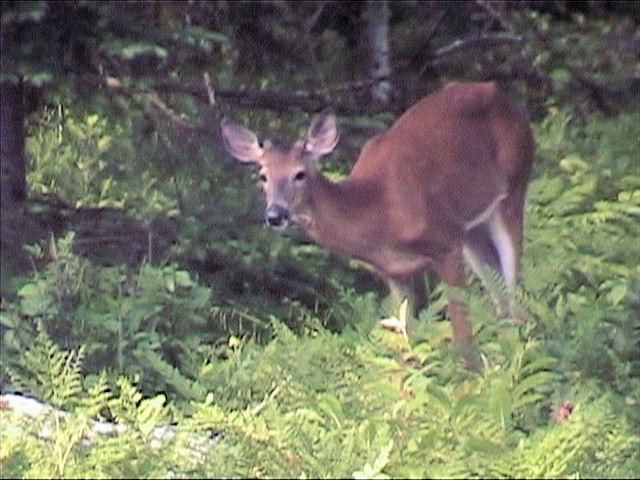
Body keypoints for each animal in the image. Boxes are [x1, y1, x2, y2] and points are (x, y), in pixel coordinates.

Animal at [221, 81, 536, 352]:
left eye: (300, 174)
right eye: (263, 175)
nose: (275, 215)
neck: (379, 210)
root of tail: (503, 97)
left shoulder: (445, 242)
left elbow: (463, 338)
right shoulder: (394, 272)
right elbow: (409, 339)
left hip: (512, 190)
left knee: (515, 298)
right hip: (472, 232)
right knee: (501, 299)